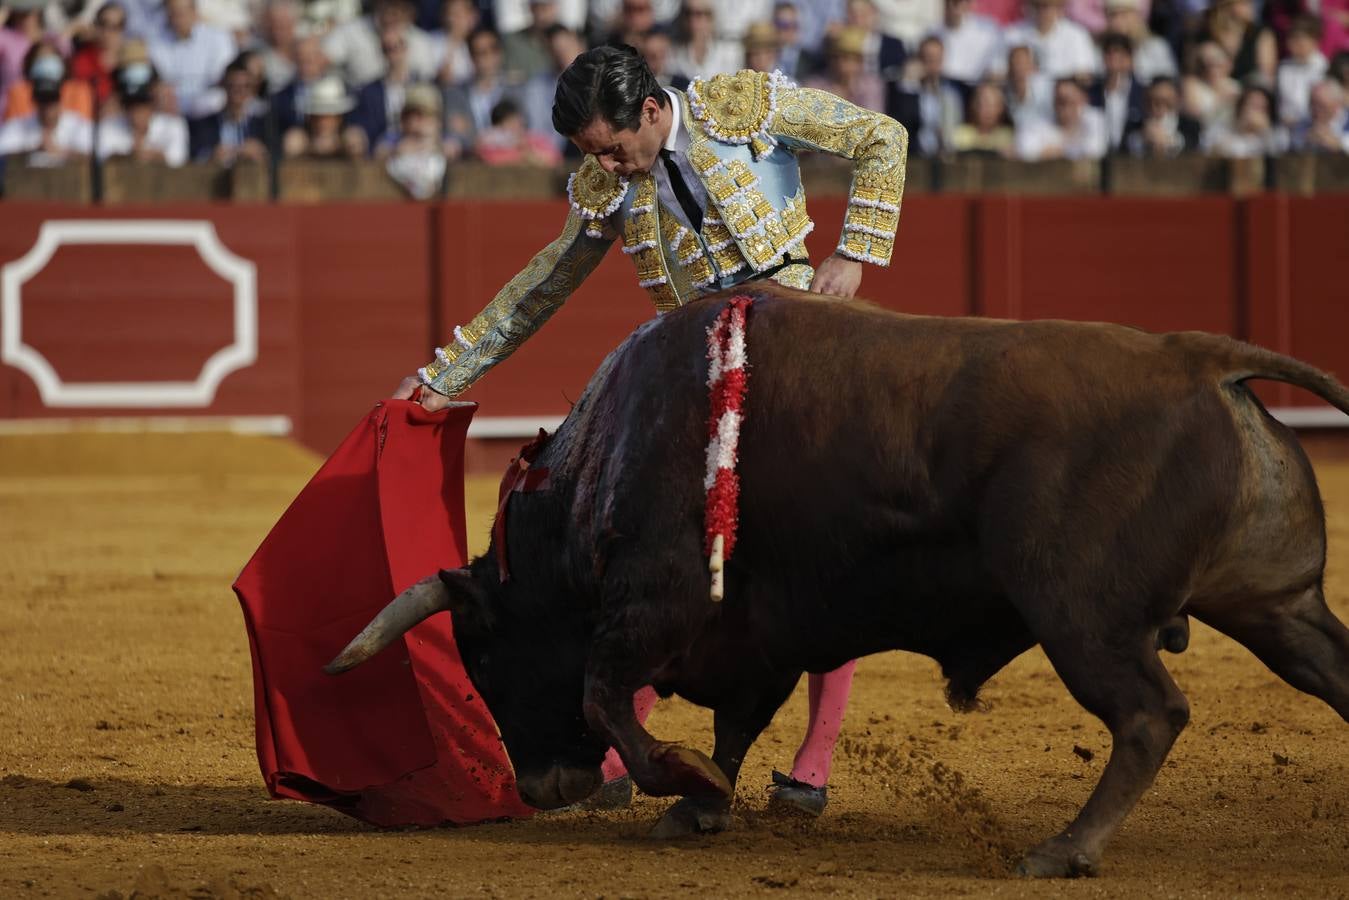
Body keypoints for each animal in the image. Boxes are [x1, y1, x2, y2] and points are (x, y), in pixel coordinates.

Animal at [326, 284, 1349, 874]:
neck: (604, 458)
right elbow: (736, 721)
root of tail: (1200, 359)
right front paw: (699, 805)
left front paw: (684, 783)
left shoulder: (651, 604)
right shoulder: (753, 630)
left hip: (1078, 614)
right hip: (1274, 602)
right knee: (1327, 671)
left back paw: (1062, 850)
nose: (540, 789)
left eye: (487, 660)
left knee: (1147, 714)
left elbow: (608, 695)